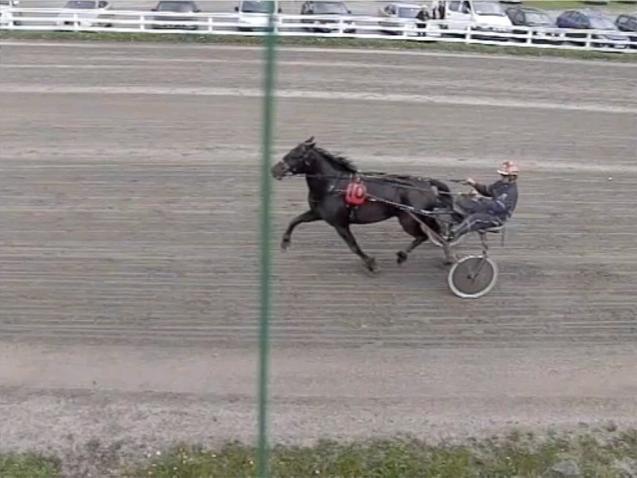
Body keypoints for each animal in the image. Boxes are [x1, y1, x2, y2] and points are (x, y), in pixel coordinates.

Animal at [270, 138, 450, 272]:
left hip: (409, 219)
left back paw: (414, 256)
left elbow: (353, 246)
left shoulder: (340, 223)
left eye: (296, 155)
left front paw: (371, 263)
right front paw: (285, 243)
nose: (274, 170)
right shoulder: (318, 213)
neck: (331, 186)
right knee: (435, 234)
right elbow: (295, 220)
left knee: (426, 235)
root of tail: (426, 183)